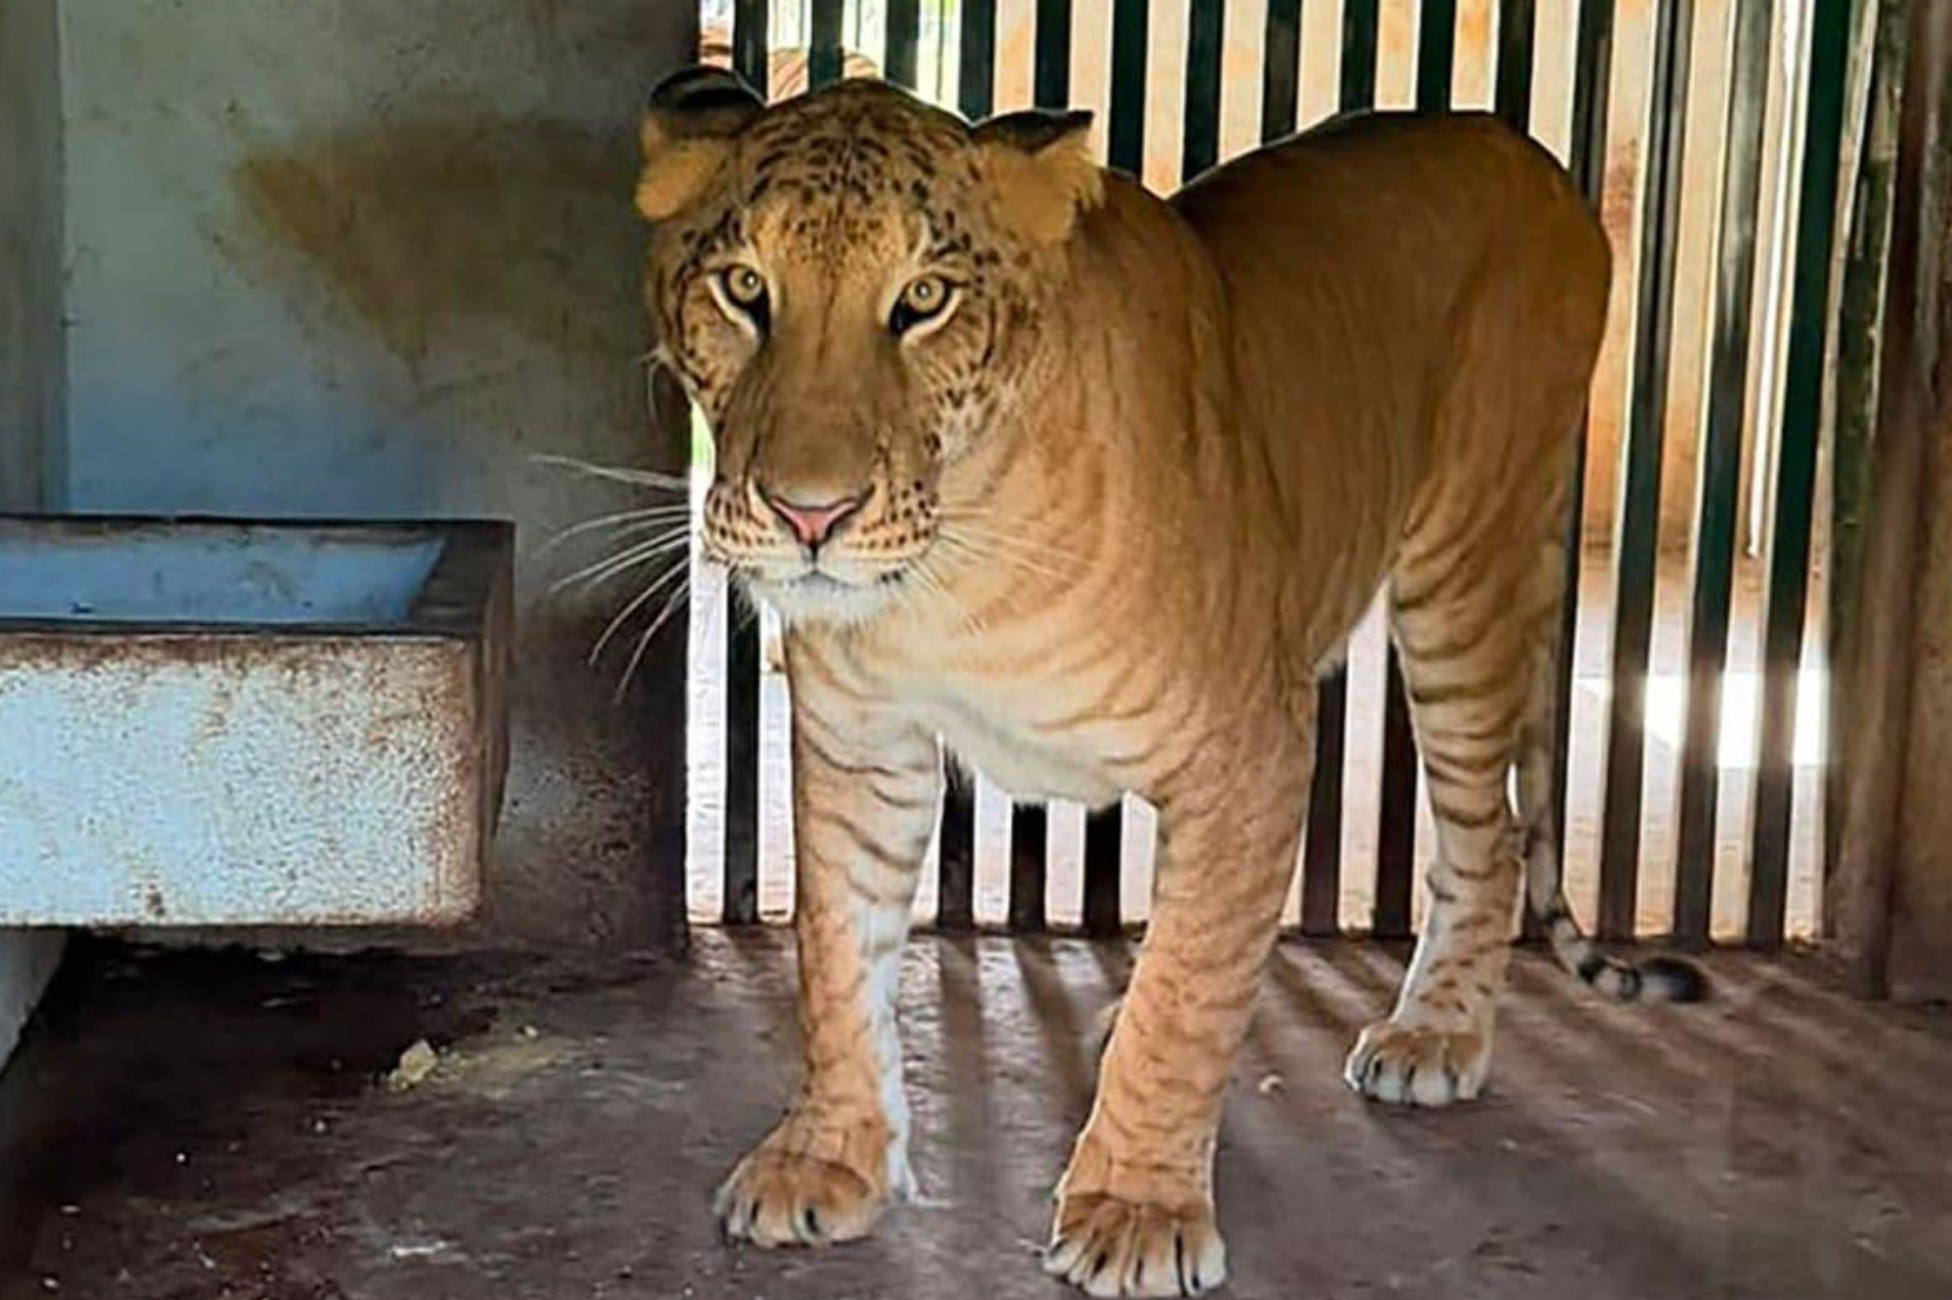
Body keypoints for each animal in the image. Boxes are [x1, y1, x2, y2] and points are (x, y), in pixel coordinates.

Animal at [633, 64, 1704, 1298]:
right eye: (743, 288)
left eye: (924, 299)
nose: (811, 516)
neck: (950, 579)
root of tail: (1509, 139)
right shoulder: (862, 745)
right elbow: (836, 957)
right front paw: (828, 1159)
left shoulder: (1254, 746)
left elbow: (1188, 997)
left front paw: (1136, 1209)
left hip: (1467, 572)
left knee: (1479, 844)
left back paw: (1433, 1033)